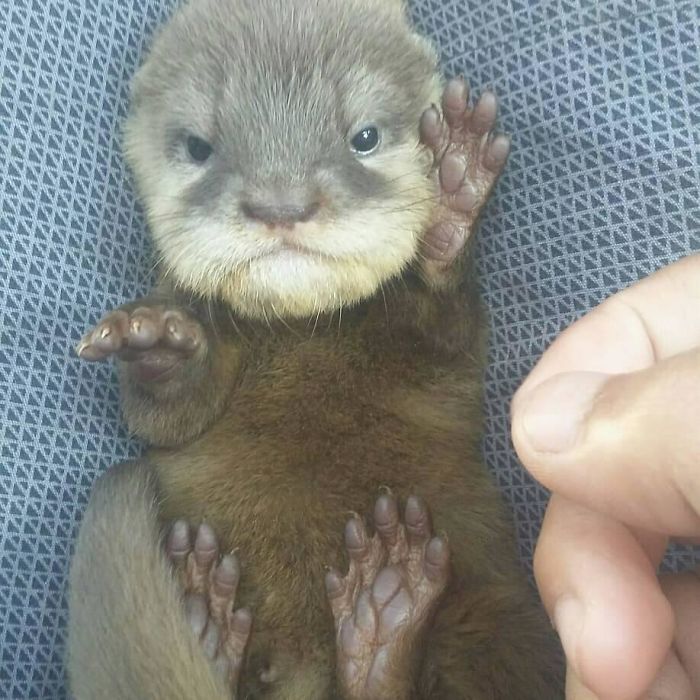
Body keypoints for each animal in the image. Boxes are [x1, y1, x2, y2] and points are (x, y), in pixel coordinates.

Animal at [66, 0, 563, 697]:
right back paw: (223, 621)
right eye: (199, 146)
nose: (281, 203)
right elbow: (163, 418)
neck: (304, 332)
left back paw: (385, 622)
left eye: (365, 137)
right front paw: (154, 340)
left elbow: (447, 333)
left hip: (494, 624)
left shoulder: (444, 371)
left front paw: (452, 190)